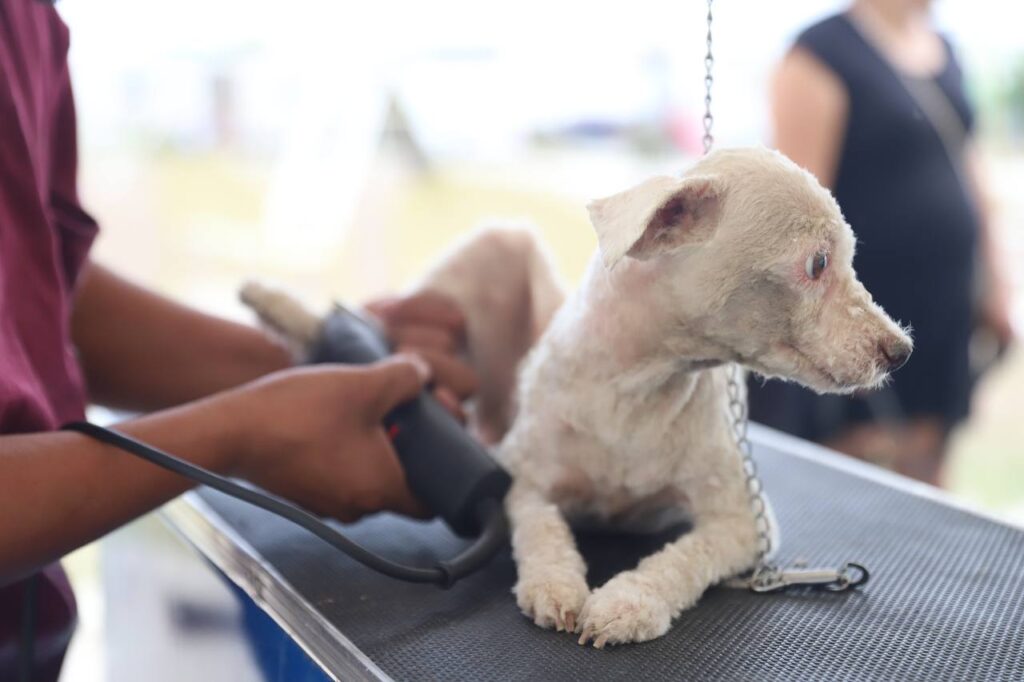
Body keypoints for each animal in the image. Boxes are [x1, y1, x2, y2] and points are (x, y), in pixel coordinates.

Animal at [241, 146, 913, 647]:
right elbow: (540, 531)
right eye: (818, 264)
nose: (900, 350)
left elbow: (685, 557)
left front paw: (626, 603)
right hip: (493, 251)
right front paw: (556, 586)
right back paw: (283, 305)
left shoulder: (745, 522)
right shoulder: (516, 479)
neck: (639, 389)